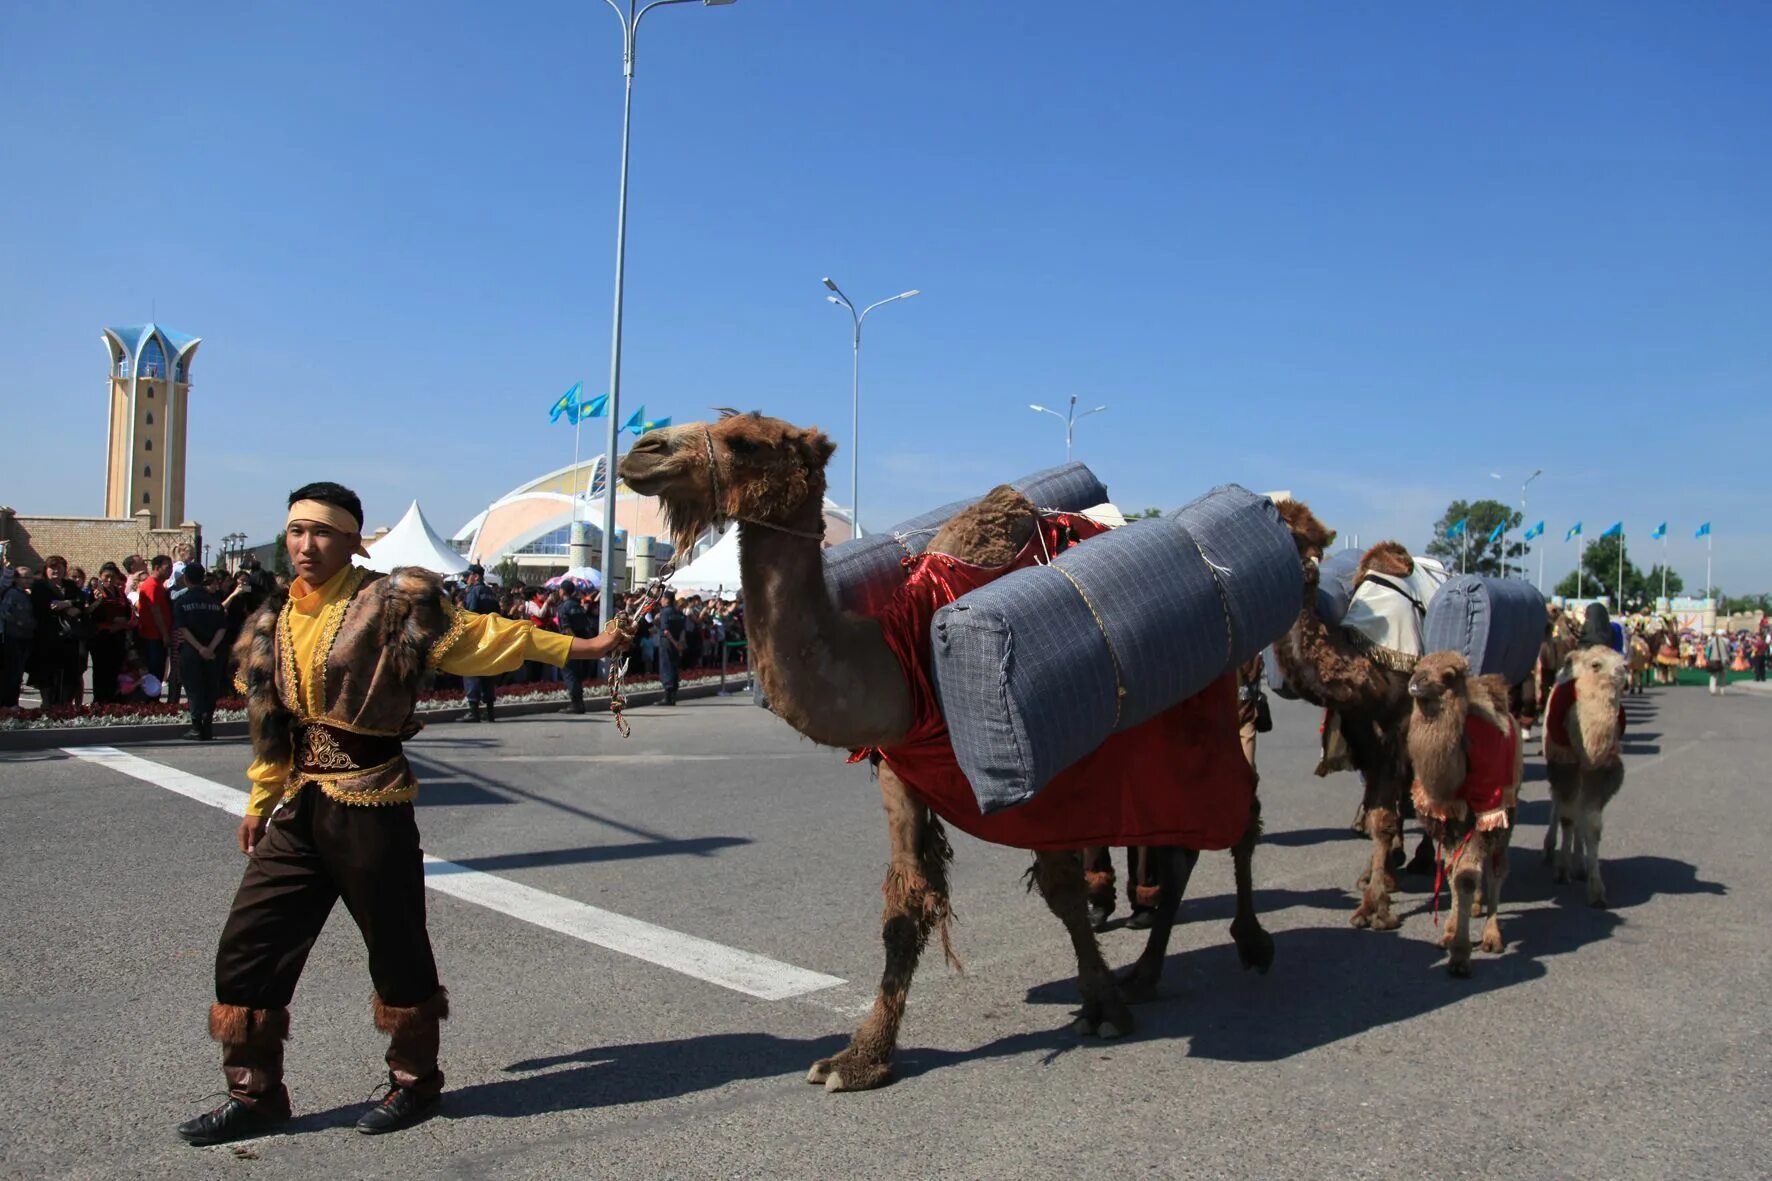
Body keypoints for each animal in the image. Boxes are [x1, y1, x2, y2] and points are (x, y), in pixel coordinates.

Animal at [616, 409, 1268, 1092]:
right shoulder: (901, 771)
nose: (643, 451)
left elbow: (1060, 889)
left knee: (1230, 819)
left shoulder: (1038, 782)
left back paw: (1240, 947)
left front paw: (1102, 1006)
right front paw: (859, 1059)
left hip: (1199, 713)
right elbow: (904, 907)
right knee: (1181, 842)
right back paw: (1150, 966)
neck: (904, 662)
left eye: (747, 441)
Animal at [1268, 507, 1417, 929]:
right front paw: (1375, 893)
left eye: (1293, 532)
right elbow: (1377, 813)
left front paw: (1375, 910)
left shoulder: (1399, 729)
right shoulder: (1364, 734)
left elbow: (1385, 817)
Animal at [1403, 649, 1516, 971]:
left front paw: (1461, 956)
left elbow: (1466, 876)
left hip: (1506, 813)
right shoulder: (1448, 818)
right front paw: (1450, 935)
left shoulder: (1487, 813)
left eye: (1449, 676)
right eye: (1417, 666)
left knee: (1498, 869)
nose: (1416, 682)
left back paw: (1492, 935)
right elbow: (1454, 872)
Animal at [1545, 645, 1623, 900]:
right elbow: (1568, 818)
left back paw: (1579, 865)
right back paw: (1550, 849)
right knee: (1558, 802)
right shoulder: (1565, 764)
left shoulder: (1601, 773)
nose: (1622, 671)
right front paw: (1561, 871)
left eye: (1622, 661)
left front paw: (1596, 888)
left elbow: (1592, 826)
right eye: (1596, 665)